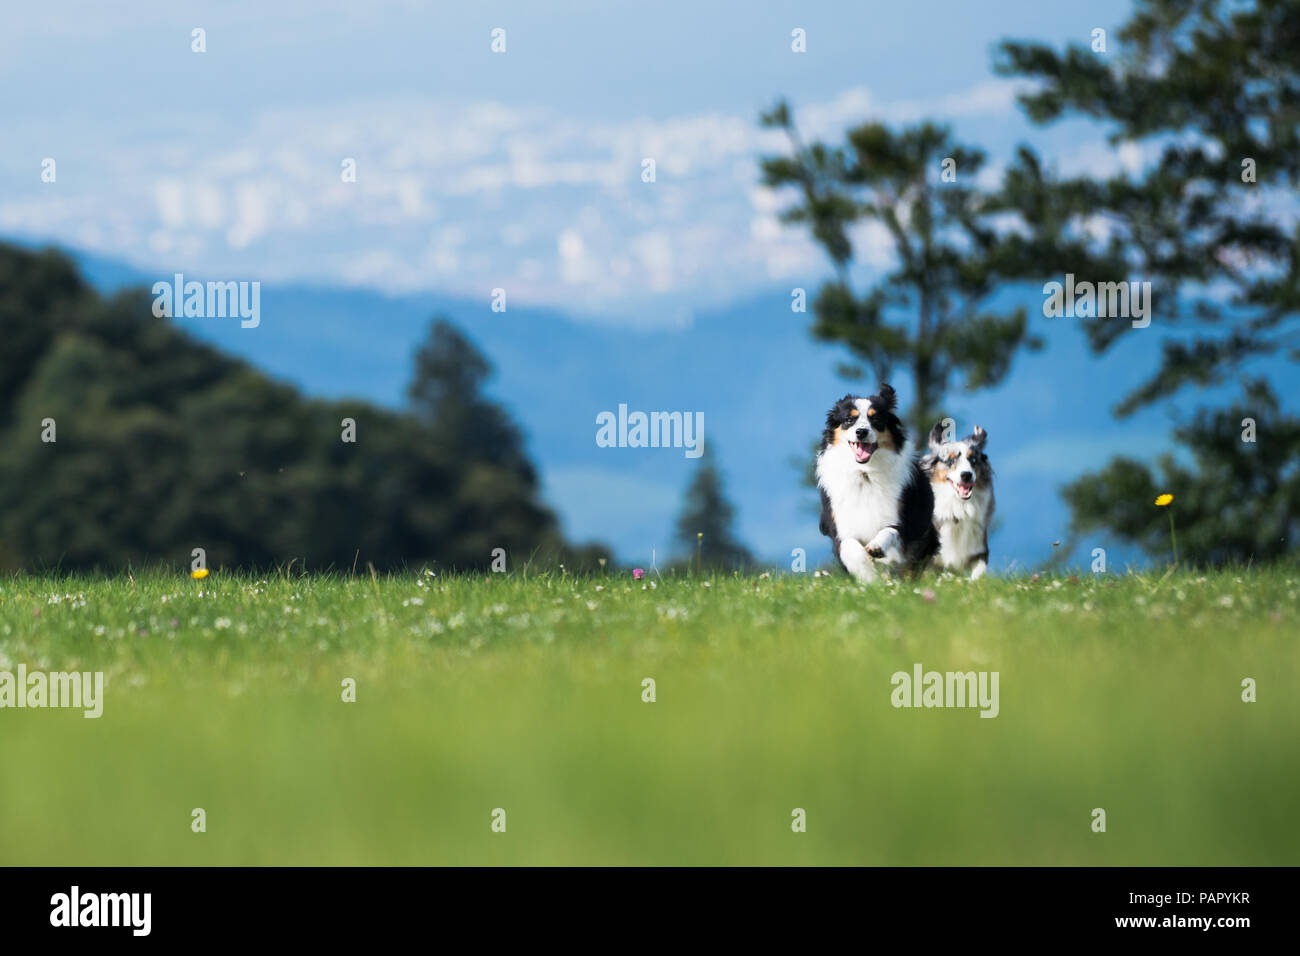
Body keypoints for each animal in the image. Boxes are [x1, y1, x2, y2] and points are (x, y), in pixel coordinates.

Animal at [811, 387, 935, 582]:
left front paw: (876, 548)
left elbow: (889, 530)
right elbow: (850, 546)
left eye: (876, 420)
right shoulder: (838, 526)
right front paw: (870, 579)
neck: (864, 473)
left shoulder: (905, 521)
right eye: (849, 420)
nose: (861, 432)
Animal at [925, 426, 993, 582]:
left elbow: (978, 574)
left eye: (973, 459)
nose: (966, 475)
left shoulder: (980, 549)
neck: (958, 507)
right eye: (950, 461)